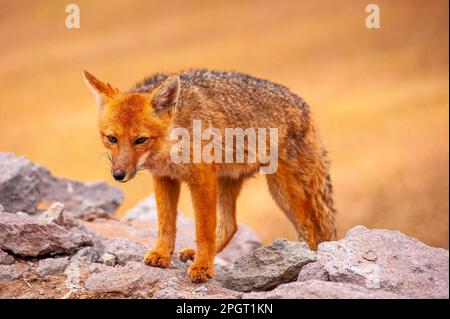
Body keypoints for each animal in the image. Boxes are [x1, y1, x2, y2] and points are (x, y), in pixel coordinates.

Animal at [83, 69, 338, 284]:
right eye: (112, 138)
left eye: (140, 140)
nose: (118, 175)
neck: (172, 147)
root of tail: (303, 105)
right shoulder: (164, 179)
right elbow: (166, 224)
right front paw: (161, 254)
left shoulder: (202, 179)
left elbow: (203, 229)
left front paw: (203, 268)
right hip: (229, 180)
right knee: (230, 225)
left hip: (282, 190)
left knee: (310, 228)